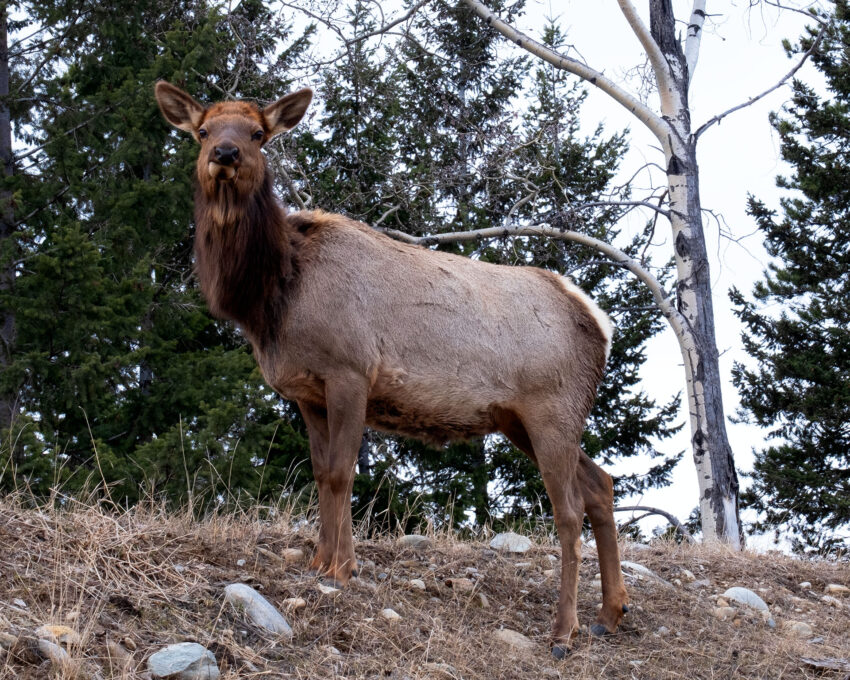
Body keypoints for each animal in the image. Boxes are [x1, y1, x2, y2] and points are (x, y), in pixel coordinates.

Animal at [154, 82, 628, 656]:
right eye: (202, 131)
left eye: (258, 133)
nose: (225, 154)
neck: (270, 301)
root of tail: (600, 324)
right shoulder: (307, 392)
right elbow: (320, 474)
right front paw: (319, 560)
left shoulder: (351, 371)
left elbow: (341, 473)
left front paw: (341, 569)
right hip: (522, 420)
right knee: (601, 483)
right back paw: (611, 612)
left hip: (551, 407)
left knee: (568, 509)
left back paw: (564, 630)